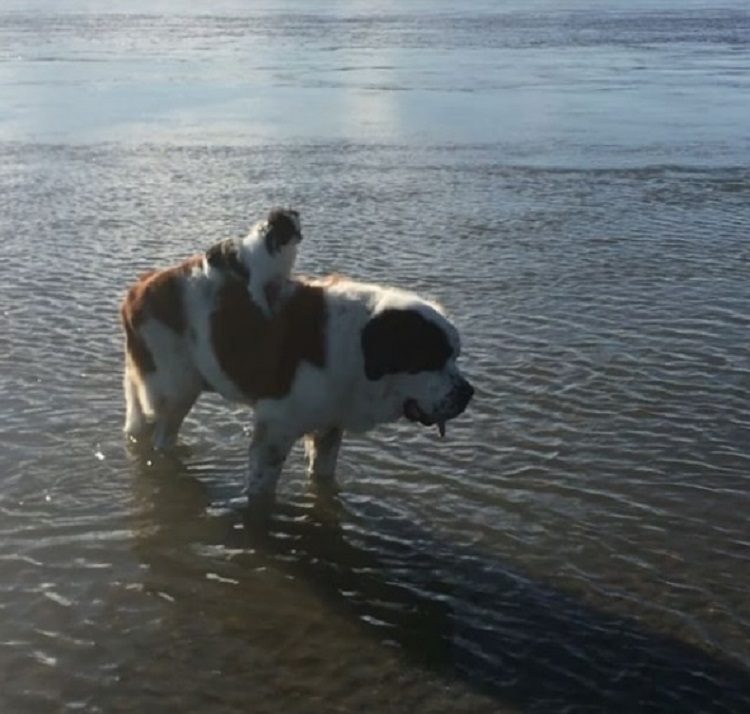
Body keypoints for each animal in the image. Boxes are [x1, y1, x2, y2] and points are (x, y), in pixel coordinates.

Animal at [123, 207, 476, 496]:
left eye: (455, 357)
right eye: (431, 358)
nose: (468, 393)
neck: (357, 348)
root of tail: (140, 285)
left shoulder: (330, 425)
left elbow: (323, 473)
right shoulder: (274, 430)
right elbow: (261, 490)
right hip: (176, 388)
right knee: (162, 437)